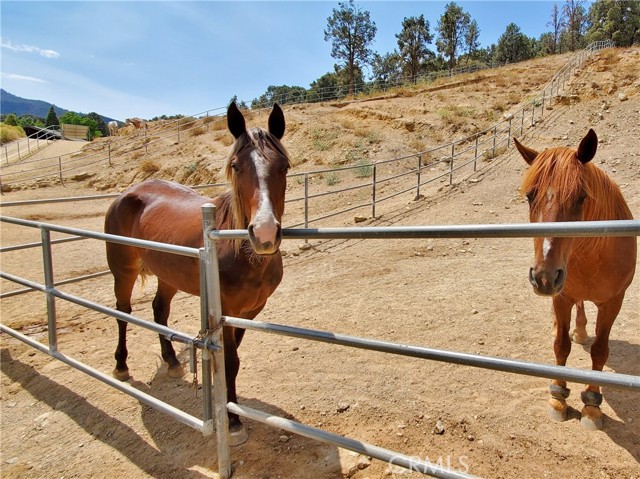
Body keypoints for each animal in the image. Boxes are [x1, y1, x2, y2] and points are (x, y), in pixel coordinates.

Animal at [104, 103, 290, 444]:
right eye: (236, 166)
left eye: (284, 167)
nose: (265, 233)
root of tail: (129, 192)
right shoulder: (225, 310)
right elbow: (230, 361)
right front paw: (232, 422)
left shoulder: (250, 311)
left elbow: (233, 361)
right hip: (123, 271)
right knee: (123, 312)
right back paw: (121, 366)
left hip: (167, 275)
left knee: (159, 310)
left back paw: (172, 361)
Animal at [516, 130, 636, 432]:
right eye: (530, 197)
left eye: (581, 198)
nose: (544, 276)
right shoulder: (561, 297)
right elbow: (561, 346)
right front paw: (558, 398)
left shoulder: (613, 302)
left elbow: (600, 352)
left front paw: (592, 406)